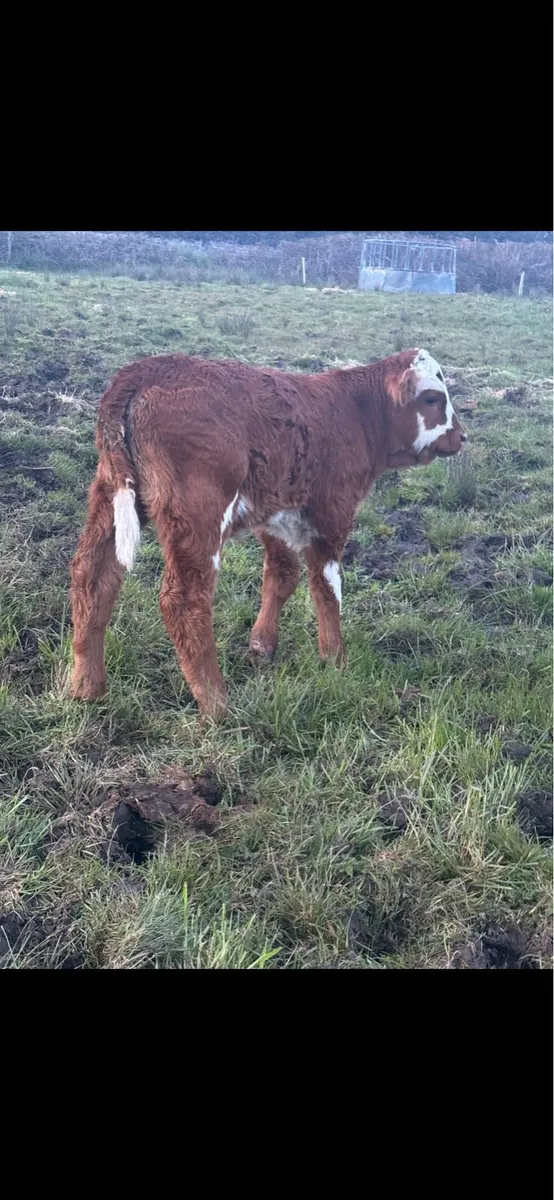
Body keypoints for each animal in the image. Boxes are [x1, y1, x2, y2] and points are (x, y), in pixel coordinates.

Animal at [69, 348, 467, 717]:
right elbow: (327, 588)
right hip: (198, 516)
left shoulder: (277, 515)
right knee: (184, 600)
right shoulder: (332, 515)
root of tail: (144, 370)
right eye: (433, 398)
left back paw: (87, 687)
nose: (462, 436)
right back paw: (217, 705)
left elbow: (282, 576)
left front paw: (262, 645)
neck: (357, 412)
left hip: (109, 496)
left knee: (92, 576)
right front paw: (334, 657)